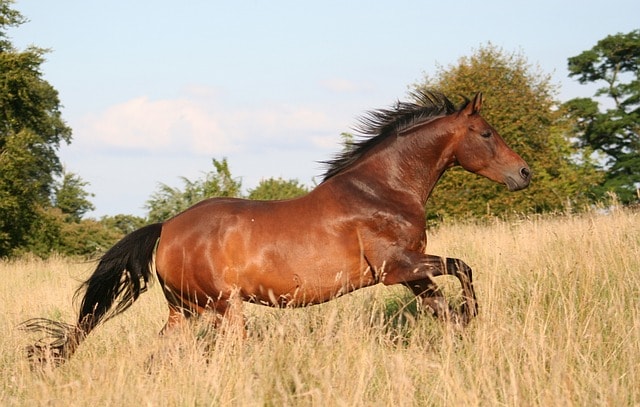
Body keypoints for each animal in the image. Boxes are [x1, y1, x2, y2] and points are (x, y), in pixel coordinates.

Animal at [21, 91, 531, 366]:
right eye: (486, 133)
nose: (523, 173)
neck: (382, 190)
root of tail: (166, 229)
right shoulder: (398, 268)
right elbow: (463, 268)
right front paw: (472, 317)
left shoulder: (412, 275)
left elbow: (445, 305)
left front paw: (463, 331)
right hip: (224, 309)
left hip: (184, 312)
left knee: (158, 356)